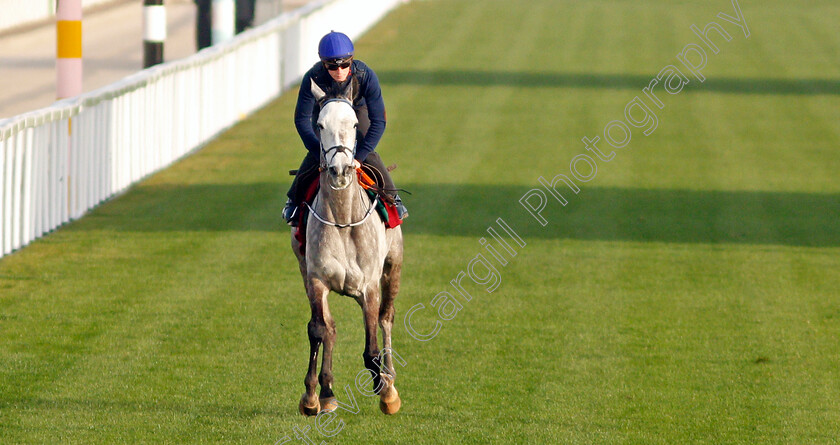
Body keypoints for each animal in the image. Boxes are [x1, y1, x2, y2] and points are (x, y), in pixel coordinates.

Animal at [292, 78, 404, 414]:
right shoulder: (316, 279)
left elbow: (371, 345)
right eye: (319, 124)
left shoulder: (369, 286)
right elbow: (320, 329)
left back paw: (390, 378)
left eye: (354, 123)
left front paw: (384, 388)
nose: (340, 169)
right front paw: (317, 395)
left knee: (386, 317)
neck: (343, 221)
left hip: (393, 267)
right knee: (328, 327)